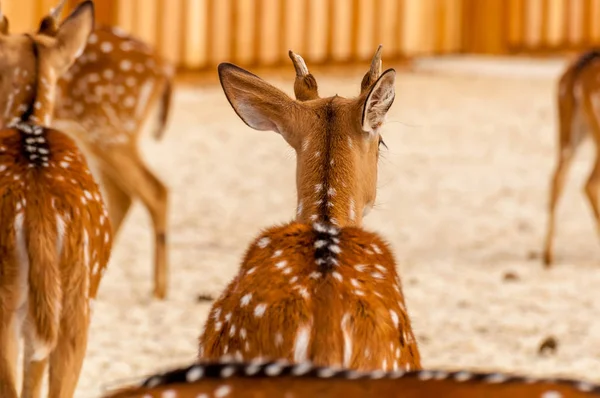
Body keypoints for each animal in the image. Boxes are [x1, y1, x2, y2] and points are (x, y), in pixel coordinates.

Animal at [34, 0, 172, 298]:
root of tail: (165, 66)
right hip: (99, 137)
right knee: (123, 195)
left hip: (112, 130)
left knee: (155, 191)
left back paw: (158, 292)